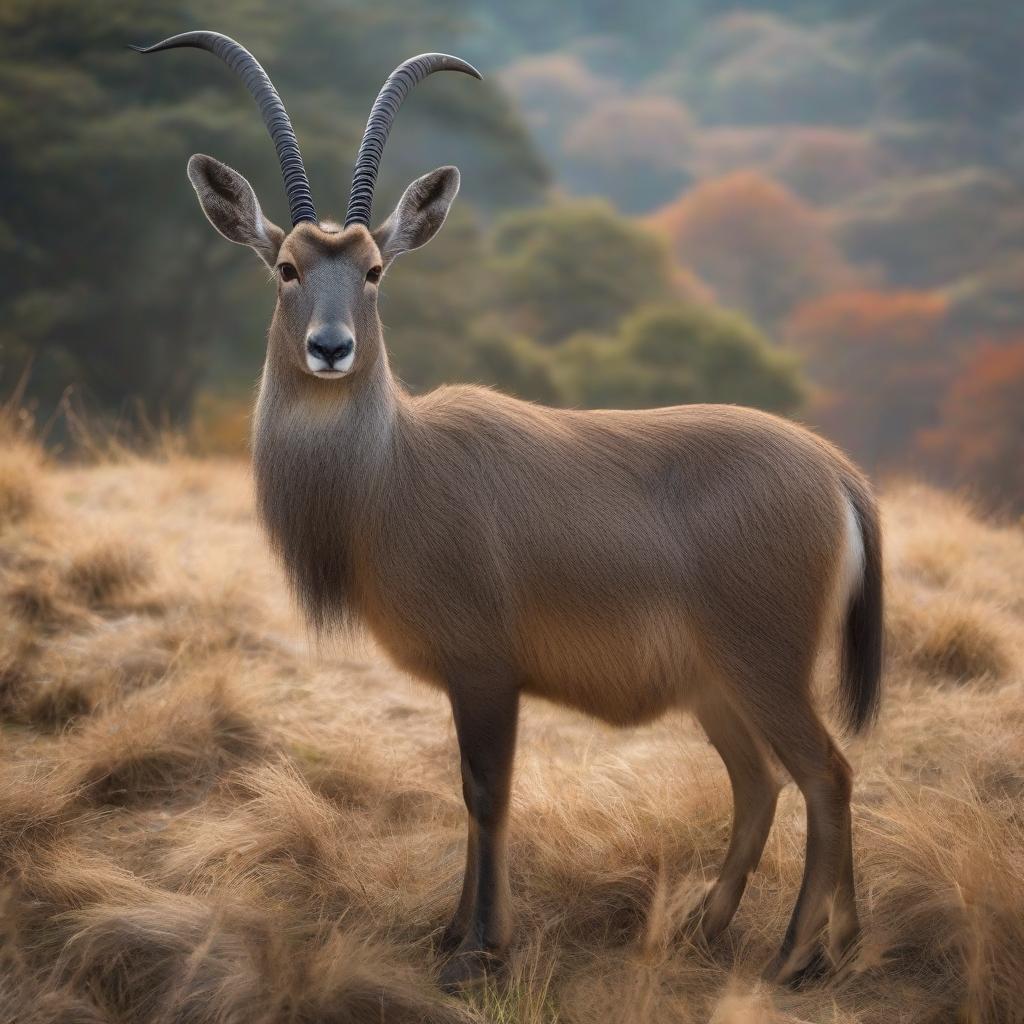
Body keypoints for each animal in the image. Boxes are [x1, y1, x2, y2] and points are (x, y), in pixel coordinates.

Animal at [138, 29, 880, 991]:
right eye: (288, 265)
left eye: (372, 269)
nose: (331, 348)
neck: (395, 469)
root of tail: (836, 472)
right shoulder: (469, 679)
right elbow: (466, 790)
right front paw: (453, 931)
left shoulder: (487, 671)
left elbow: (488, 792)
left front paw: (479, 949)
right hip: (720, 688)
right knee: (761, 783)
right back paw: (762, 936)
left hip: (767, 670)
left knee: (826, 774)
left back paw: (794, 957)